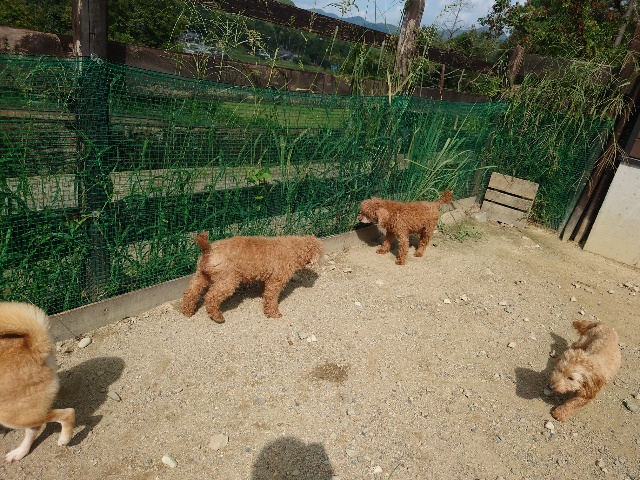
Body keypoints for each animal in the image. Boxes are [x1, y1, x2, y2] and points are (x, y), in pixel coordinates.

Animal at [0, 302, 75, 462]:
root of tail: (35, 349)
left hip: (11, 413)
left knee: (67, 413)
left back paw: (64, 439)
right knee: (34, 428)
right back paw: (20, 452)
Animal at [181, 232, 324, 323]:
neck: (294, 249)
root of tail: (209, 250)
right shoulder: (276, 280)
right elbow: (271, 298)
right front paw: (273, 313)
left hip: (202, 275)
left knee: (190, 293)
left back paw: (187, 312)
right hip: (228, 280)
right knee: (211, 297)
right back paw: (218, 317)